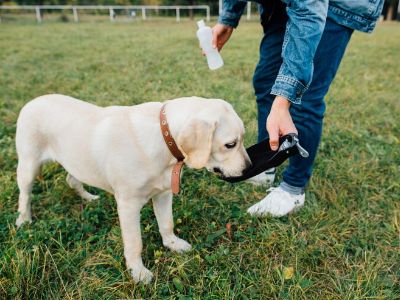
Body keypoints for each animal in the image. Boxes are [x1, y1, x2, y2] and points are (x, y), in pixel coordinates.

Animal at [16, 94, 253, 284]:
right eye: (230, 144)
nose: (249, 168)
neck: (163, 139)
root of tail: (34, 100)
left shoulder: (163, 194)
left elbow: (167, 223)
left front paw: (172, 244)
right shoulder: (128, 205)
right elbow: (134, 243)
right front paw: (137, 272)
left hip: (77, 162)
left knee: (71, 179)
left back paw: (89, 197)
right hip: (28, 165)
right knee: (25, 195)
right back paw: (24, 220)